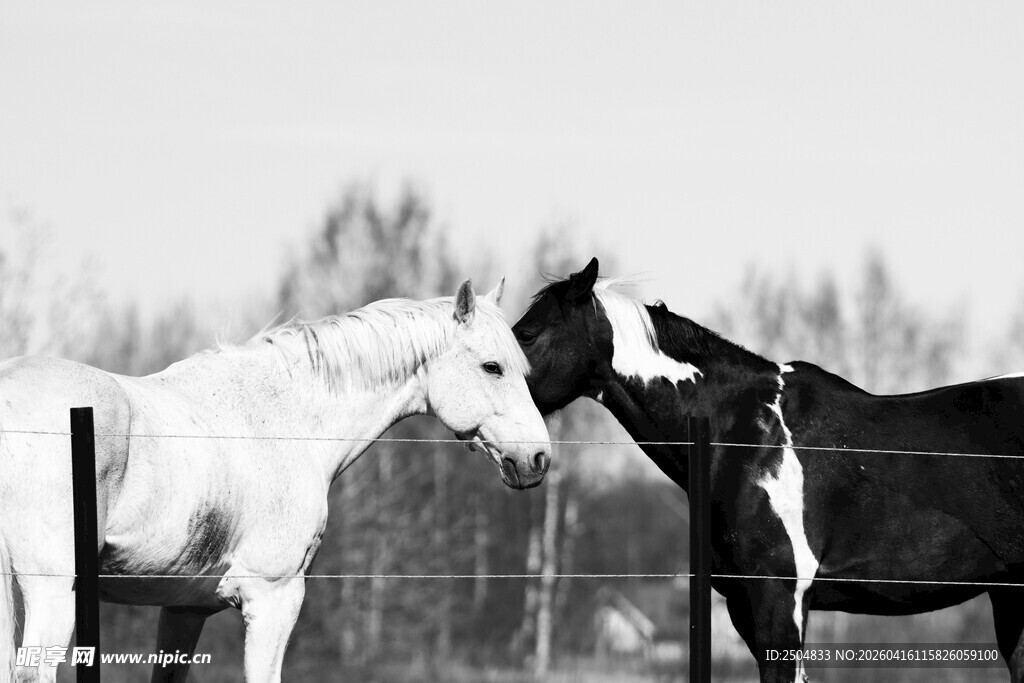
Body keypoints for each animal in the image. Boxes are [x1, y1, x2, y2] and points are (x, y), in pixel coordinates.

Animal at [0, 279, 551, 683]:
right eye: (492, 367)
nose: (538, 458)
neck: (284, 417)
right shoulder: (273, 597)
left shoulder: (183, 608)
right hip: (53, 593)